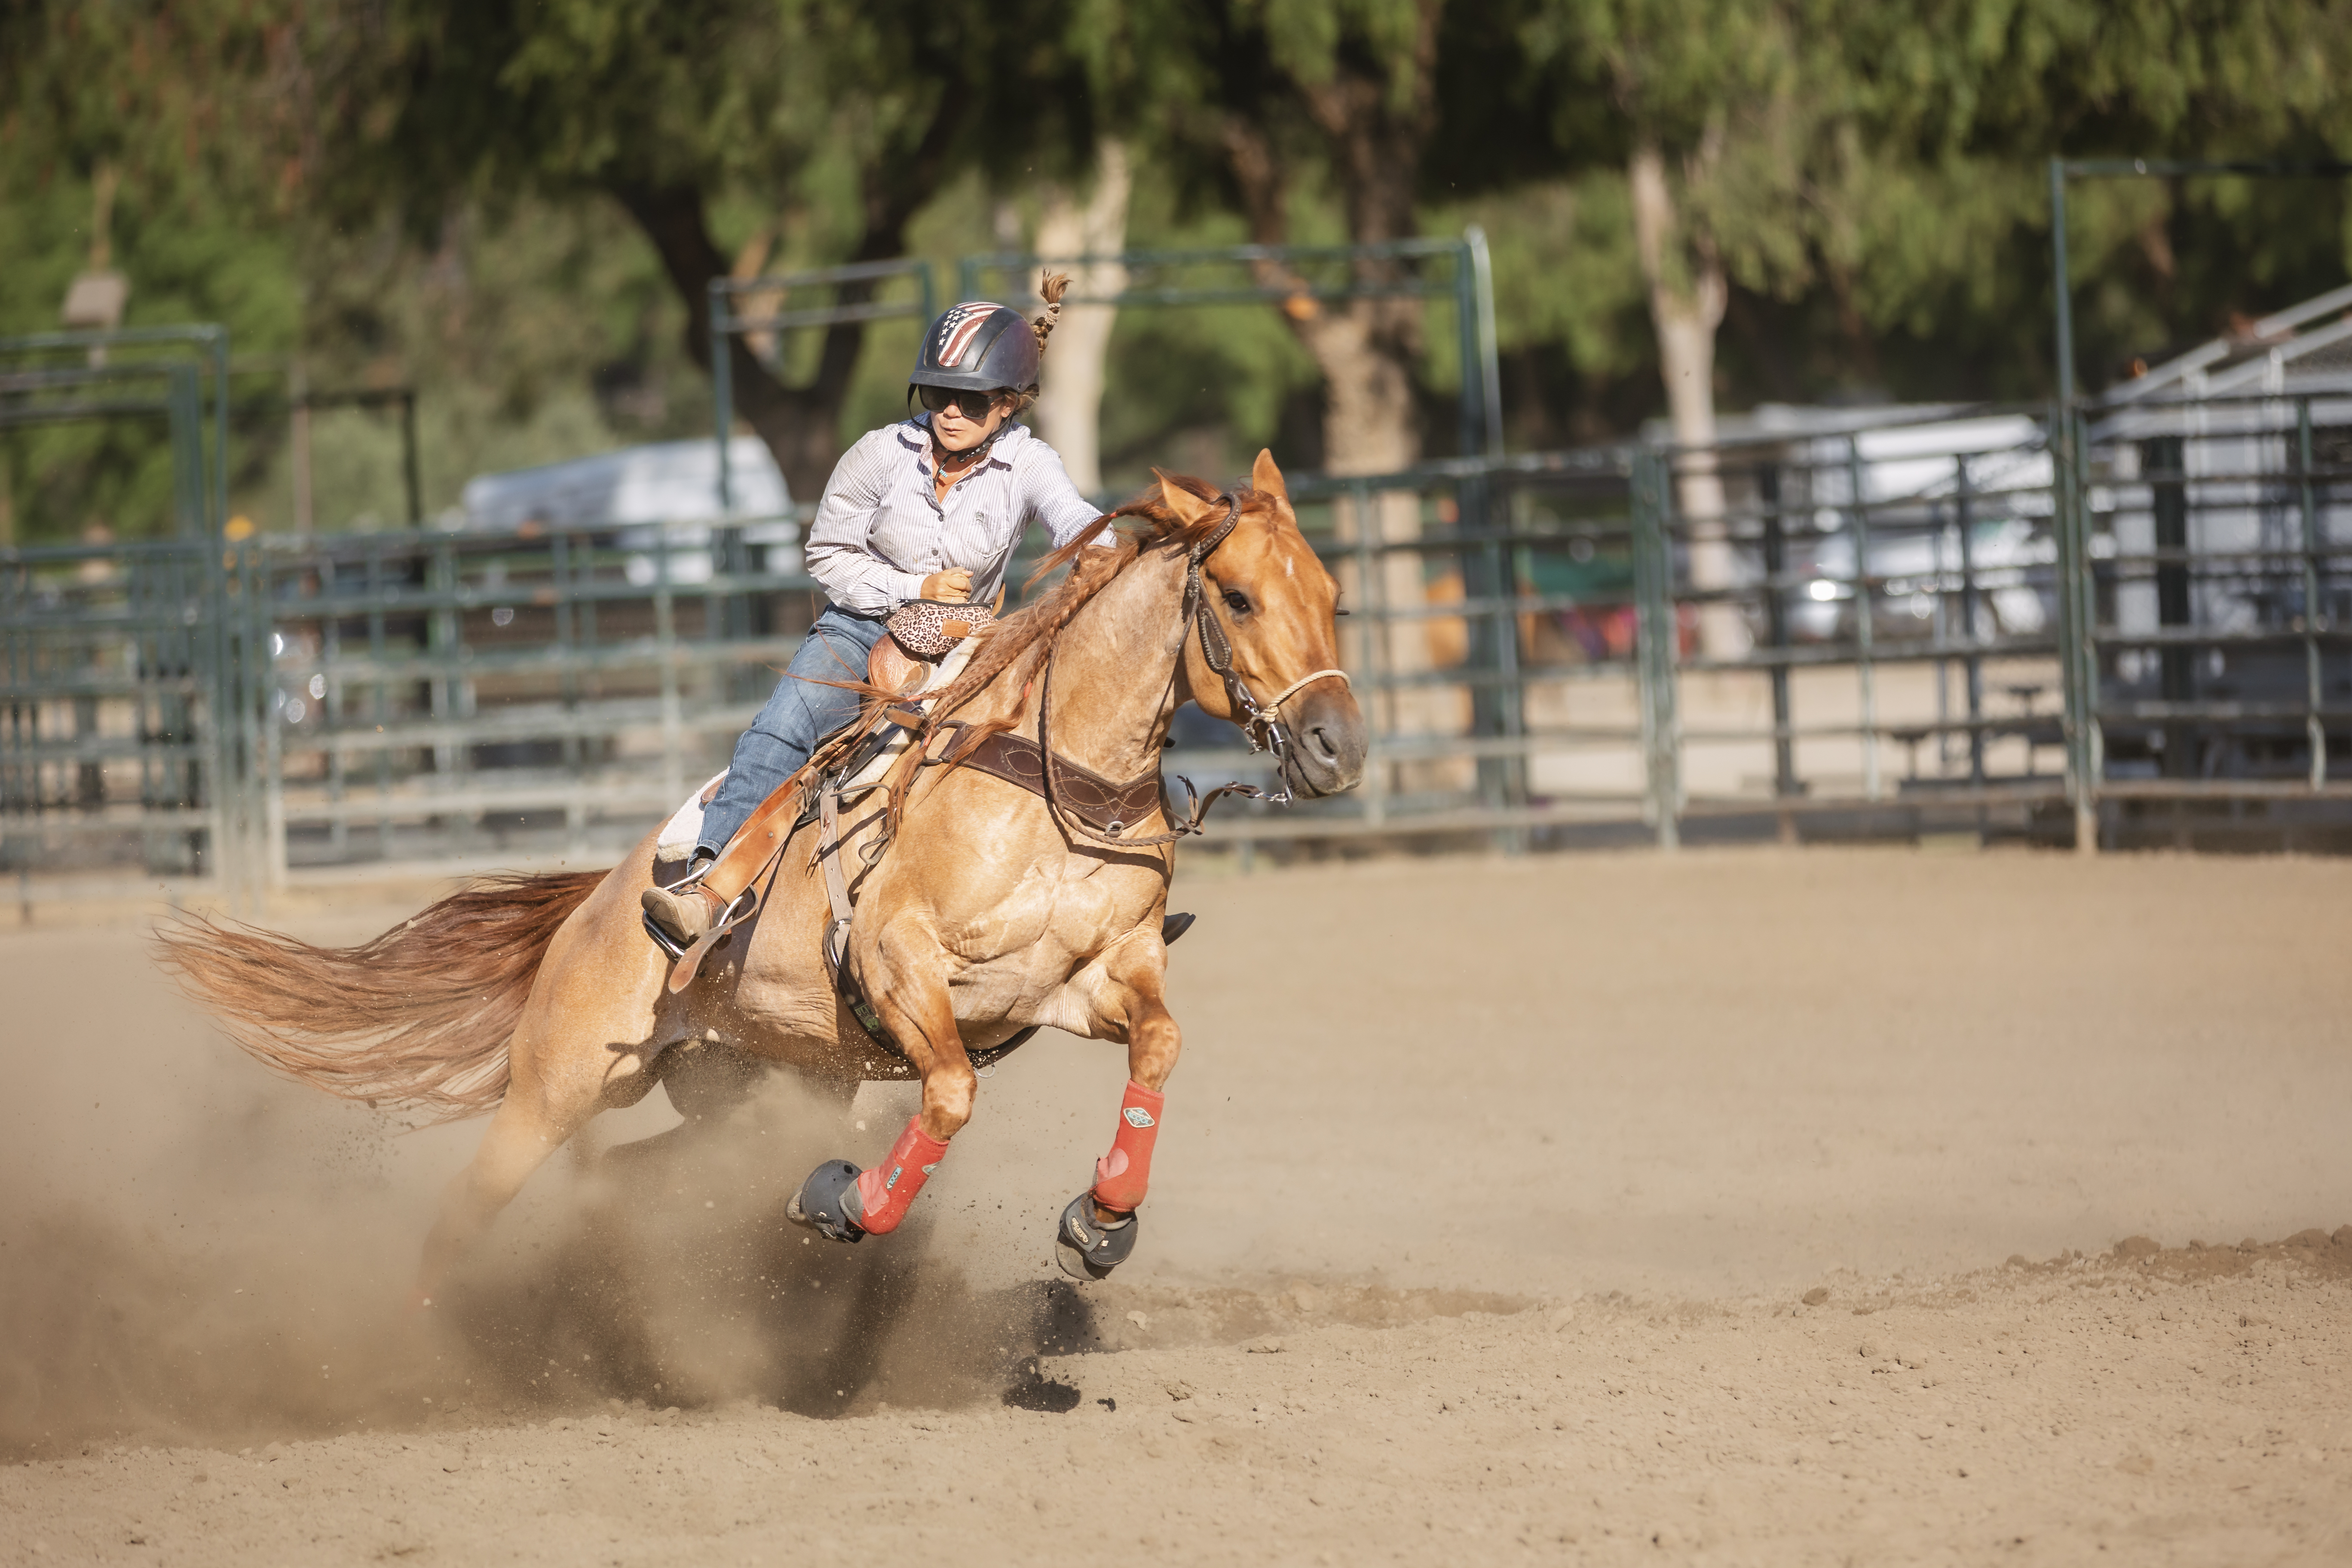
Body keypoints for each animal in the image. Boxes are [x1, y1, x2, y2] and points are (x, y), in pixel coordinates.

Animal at [159, 452, 1366, 1303]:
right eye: (1240, 599)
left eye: (1335, 596)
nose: (1337, 747)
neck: (1050, 783)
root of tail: (593, 905)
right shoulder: (898, 962)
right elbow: (950, 1093)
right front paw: (842, 1199)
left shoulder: (1096, 977)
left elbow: (1159, 1046)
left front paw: (1101, 1222)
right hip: (557, 1086)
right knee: (467, 1208)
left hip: (748, 1087)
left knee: (638, 1178)